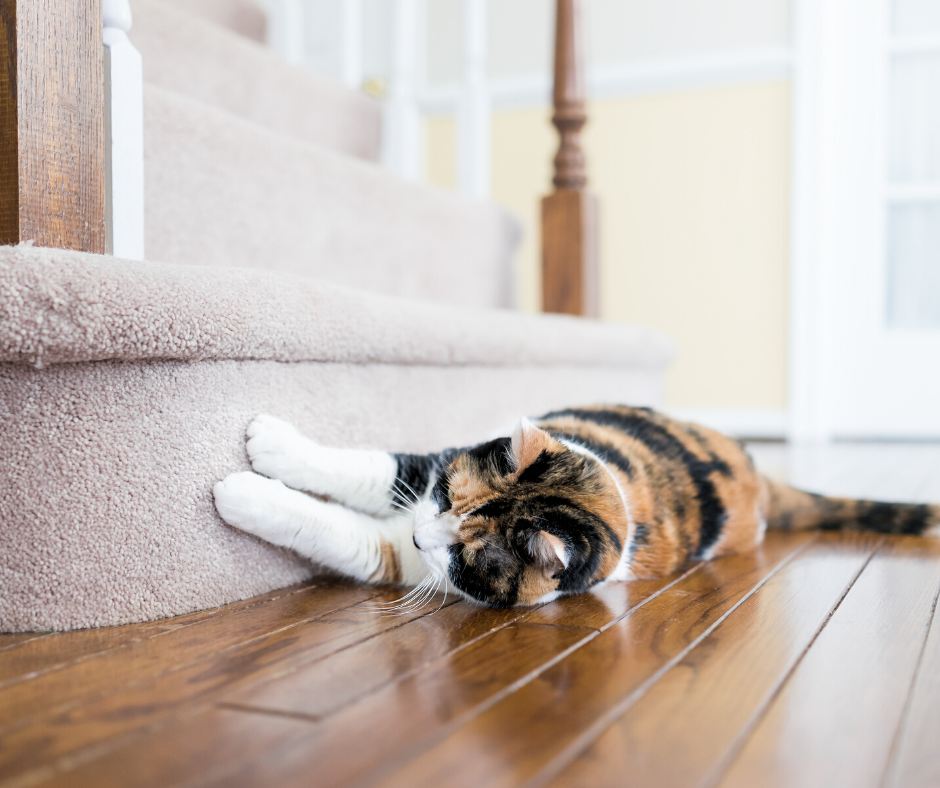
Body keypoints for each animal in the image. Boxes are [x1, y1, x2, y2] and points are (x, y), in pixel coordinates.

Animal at [213, 410, 940, 608]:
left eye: (465, 557)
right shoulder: (430, 465)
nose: (422, 539)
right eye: (447, 496)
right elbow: (375, 467)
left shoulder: (408, 559)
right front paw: (270, 442)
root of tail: (760, 479)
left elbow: (349, 535)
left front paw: (240, 492)